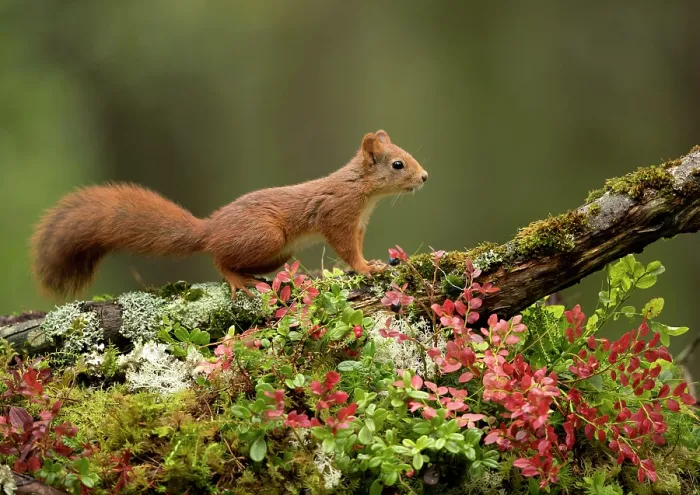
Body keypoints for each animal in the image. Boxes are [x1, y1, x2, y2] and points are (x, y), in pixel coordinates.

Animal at [30, 129, 428, 299]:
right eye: (398, 164)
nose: (425, 177)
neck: (362, 192)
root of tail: (209, 229)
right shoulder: (337, 215)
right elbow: (346, 250)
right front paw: (366, 268)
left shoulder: (358, 224)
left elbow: (356, 247)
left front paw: (370, 262)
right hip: (265, 236)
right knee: (219, 260)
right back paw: (238, 280)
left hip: (277, 252)